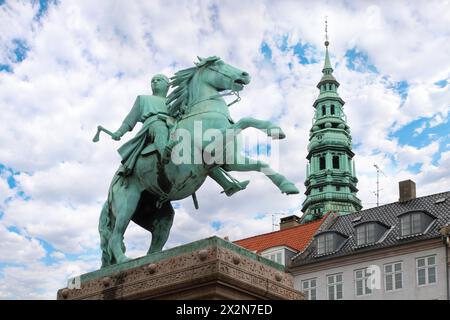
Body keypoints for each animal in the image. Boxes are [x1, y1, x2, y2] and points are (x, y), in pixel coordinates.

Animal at [98, 56, 298, 266]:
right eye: (217, 64)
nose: (245, 74)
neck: (204, 112)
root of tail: (111, 189)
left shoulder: (230, 160)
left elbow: (261, 164)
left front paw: (287, 184)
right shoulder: (213, 148)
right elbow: (245, 120)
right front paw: (273, 129)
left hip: (161, 218)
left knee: (152, 248)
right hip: (127, 203)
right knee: (115, 237)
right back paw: (124, 261)